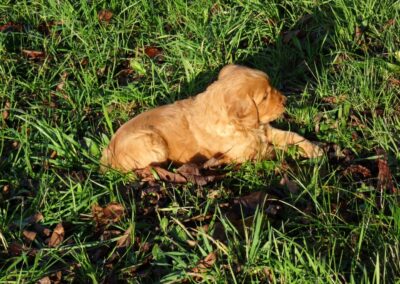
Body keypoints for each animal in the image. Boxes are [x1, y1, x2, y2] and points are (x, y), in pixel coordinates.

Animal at [100, 64, 322, 172]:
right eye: (265, 97)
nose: (285, 100)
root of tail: (107, 155)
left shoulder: (265, 130)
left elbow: (293, 136)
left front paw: (315, 149)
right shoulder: (247, 153)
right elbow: (277, 151)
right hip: (152, 143)